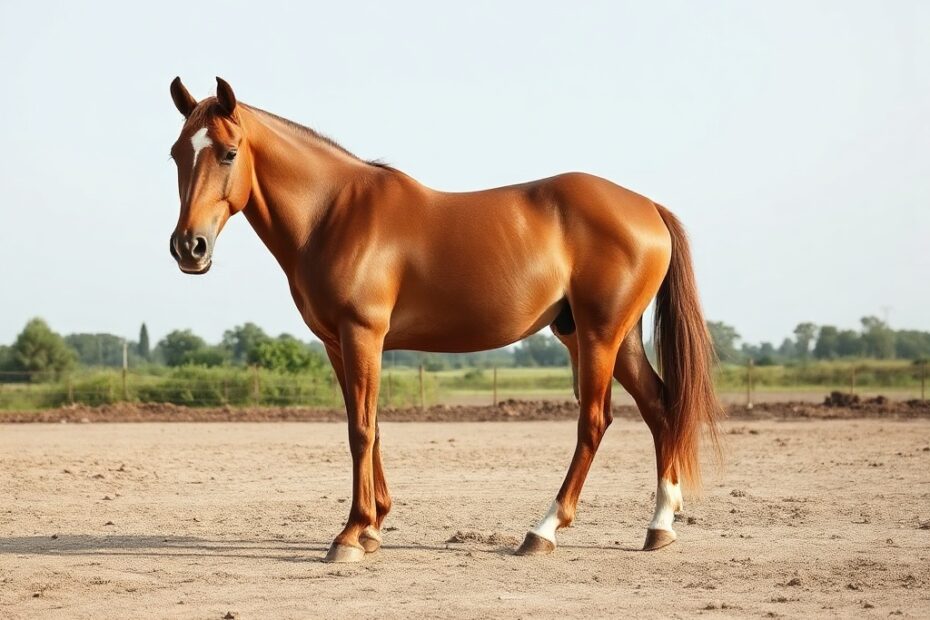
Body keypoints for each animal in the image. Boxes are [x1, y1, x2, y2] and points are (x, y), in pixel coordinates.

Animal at [167, 77, 722, 563]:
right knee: (660, 407)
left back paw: (543, 531)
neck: (332, 214)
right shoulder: (337, 343)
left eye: (228, 153)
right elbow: (368, 424)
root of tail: (647, 207)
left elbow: (360, 430)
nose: (189, 247)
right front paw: (373, 527)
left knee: (595, 420)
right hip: (610, 336)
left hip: (599, 335)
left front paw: (350, 535)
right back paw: (660, 526)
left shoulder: (362, 333)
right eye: (176, 153)